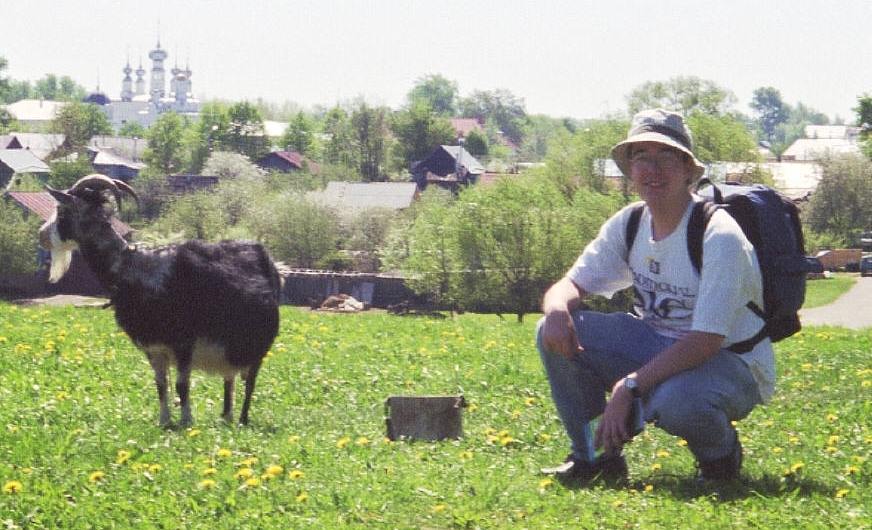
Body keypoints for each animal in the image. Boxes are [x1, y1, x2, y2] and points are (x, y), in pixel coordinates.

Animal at [39, 174, 282, 424]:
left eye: (61, 211)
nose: (42, 236)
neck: (130, 267)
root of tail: (267, 259)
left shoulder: (184, 341)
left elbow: (182, 384)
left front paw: (186, 421)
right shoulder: (153, 346)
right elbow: (161, 384)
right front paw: (164, 421)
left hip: (258, 346)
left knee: (250, 381)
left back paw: (242, 419)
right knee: (229, 378)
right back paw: (225, 416)